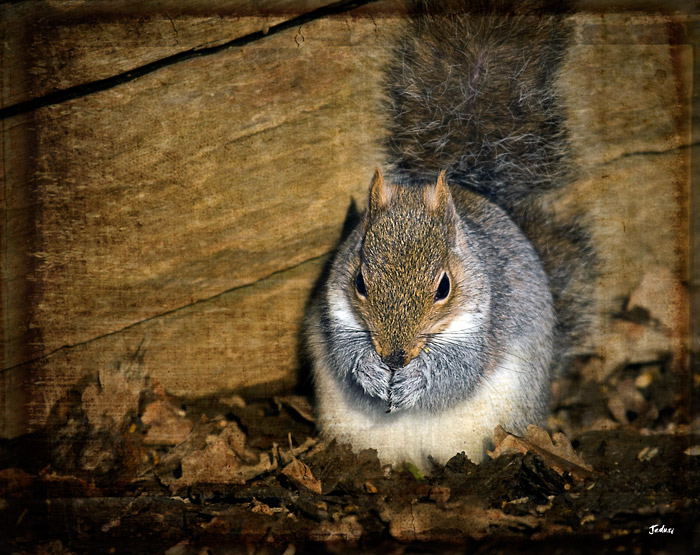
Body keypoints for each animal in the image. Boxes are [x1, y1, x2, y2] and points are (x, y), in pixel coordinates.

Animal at [304, 0, 592, 472]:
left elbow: (458, 373)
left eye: (444, 287)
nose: (394, 358)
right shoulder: (334, 313)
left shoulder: (485, 327)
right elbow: (342, 353)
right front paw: (367, 369)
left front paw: (418, 376)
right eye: (359, 282)